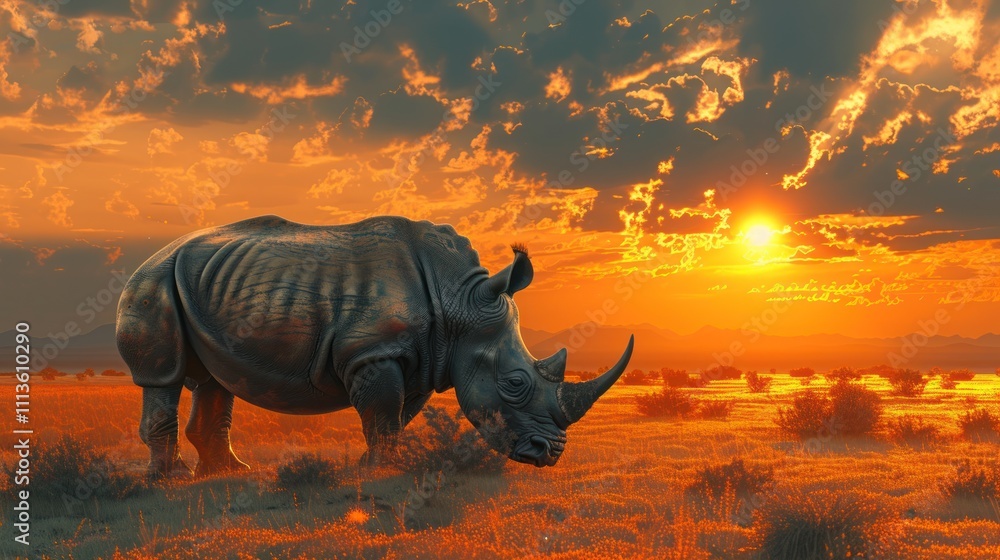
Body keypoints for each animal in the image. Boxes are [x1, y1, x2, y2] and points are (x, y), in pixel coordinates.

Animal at [116, 215, 634, 477]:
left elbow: (396, 415)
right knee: (163, 377)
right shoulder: (374, 350)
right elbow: (383, 413)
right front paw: (384, 473)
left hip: (206, 284)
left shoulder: (425, 356)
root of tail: (155, 254)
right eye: (515, 383)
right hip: (153, 283)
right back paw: (173, 480)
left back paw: (229, 474)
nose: (550, 454)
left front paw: (373, 464)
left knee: (215, 381)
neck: (461, 302)